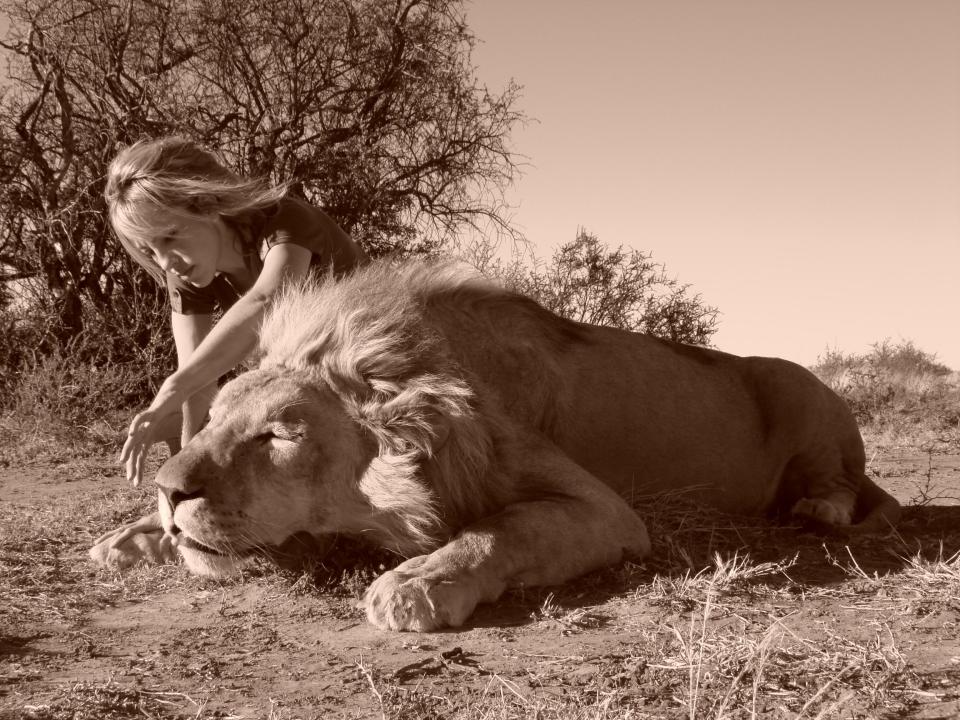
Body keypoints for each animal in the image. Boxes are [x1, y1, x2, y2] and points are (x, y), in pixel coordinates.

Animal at [90, 260, 900, 632]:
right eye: (217, 420)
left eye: (278, 434)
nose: (168, 490)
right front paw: (128, 538)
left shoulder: (605, 510)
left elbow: (497, 531)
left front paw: (414, 584)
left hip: (798, 386)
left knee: (848, 485)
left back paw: (818, 511)